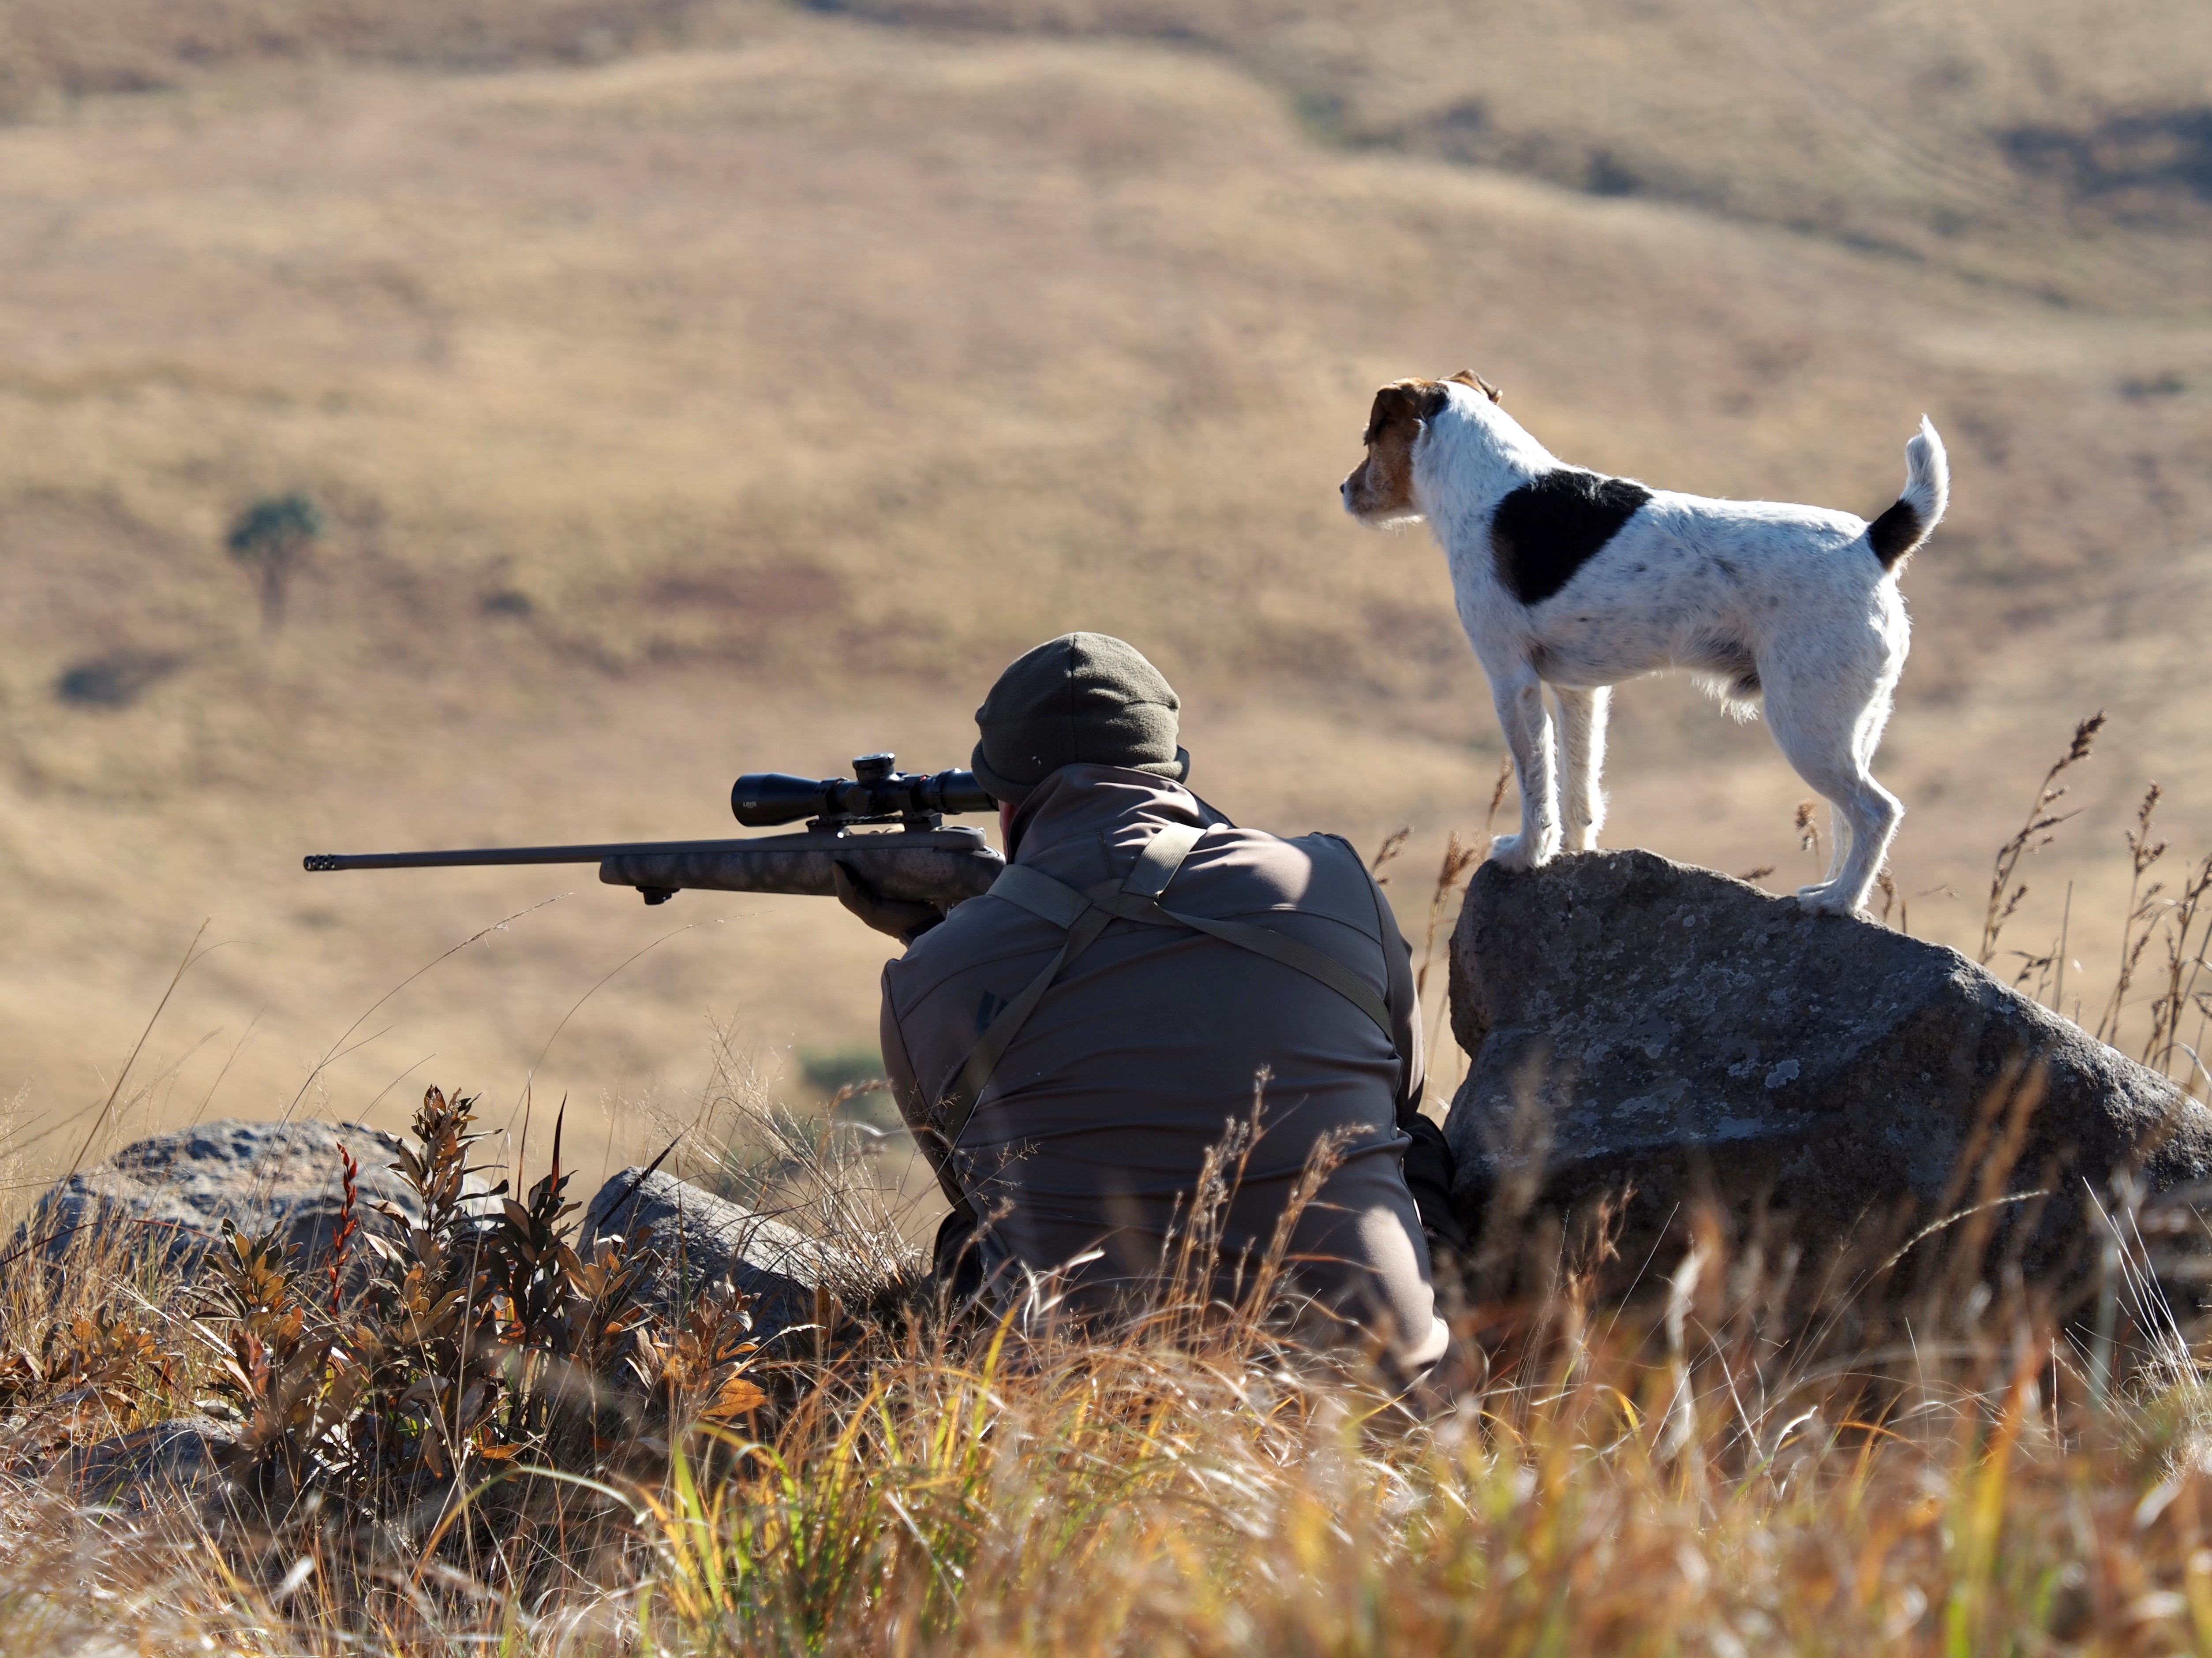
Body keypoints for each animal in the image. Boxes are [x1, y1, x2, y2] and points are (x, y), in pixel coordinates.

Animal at [1336, 376, 1946, 924]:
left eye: (1369, 438)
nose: (1343, 490)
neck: (1490, 488)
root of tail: (1871, 541)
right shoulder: (1578, 691)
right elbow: (1577, 783)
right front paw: (1572, 851)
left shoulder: (1512, 682)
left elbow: (1536, 783)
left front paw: (1526, 855)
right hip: (1852, 724)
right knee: (1848, 818)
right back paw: (1837, 891)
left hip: (1805, 725)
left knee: (1874, 811)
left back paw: (1834, 902)